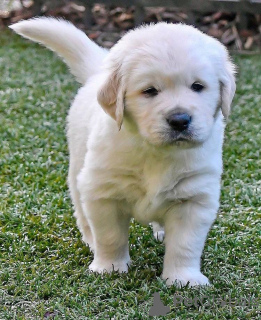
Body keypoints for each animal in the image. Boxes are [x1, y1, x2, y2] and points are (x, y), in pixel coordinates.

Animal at [10, 18, 235, 288]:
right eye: (150, 91)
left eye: (198, 86)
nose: (180, 120)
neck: (155, 151)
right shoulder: (103, 191)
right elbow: (110, 236)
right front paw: (110, 268)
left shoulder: (194, 197)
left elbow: (185, 245)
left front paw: (183, 278)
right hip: (77, 171)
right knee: (82, 212)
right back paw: (90, 240)